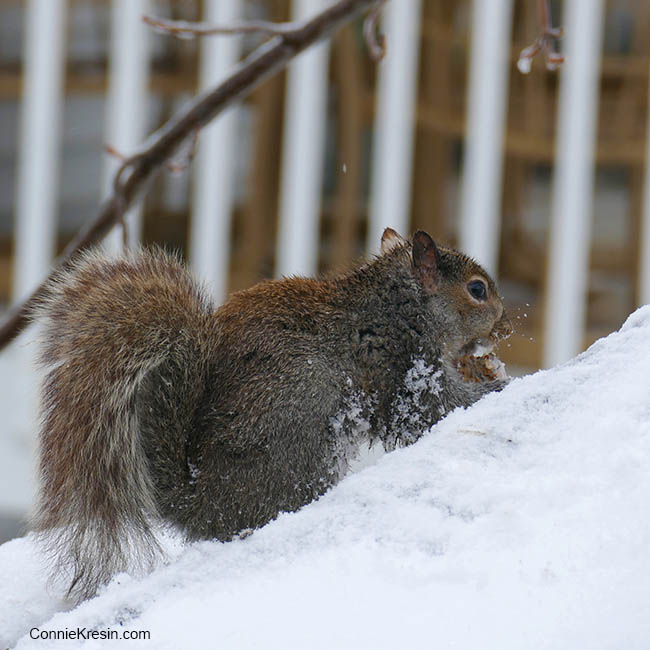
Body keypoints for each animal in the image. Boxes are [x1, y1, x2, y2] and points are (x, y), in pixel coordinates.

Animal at [32, 228, 511, 602]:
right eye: (477, 290)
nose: (506, 327)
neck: (401, 303)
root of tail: (204, 505)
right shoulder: (402, 366)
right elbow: (431, 409)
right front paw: (496, 388)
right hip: (303, 437)